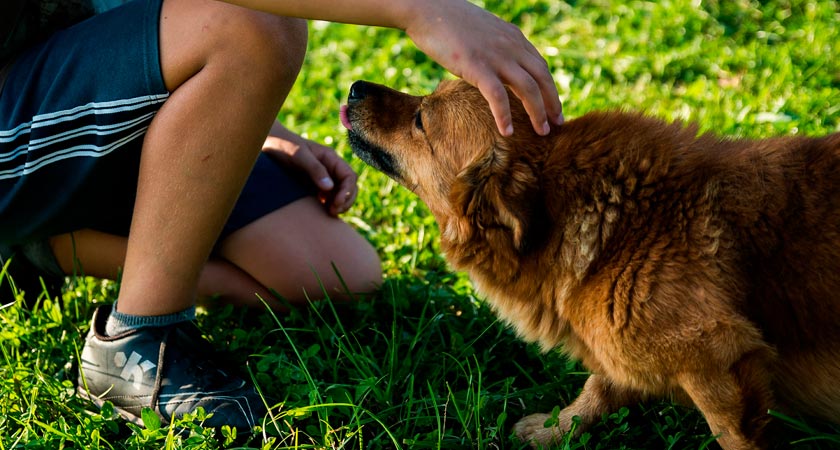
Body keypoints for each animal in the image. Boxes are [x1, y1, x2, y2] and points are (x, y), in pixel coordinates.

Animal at [340, 79, 840, 448]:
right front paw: (555, 430)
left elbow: (731, 435)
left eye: (421, 119)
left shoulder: (718, 359)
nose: (355, 87)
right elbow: (598, 388)